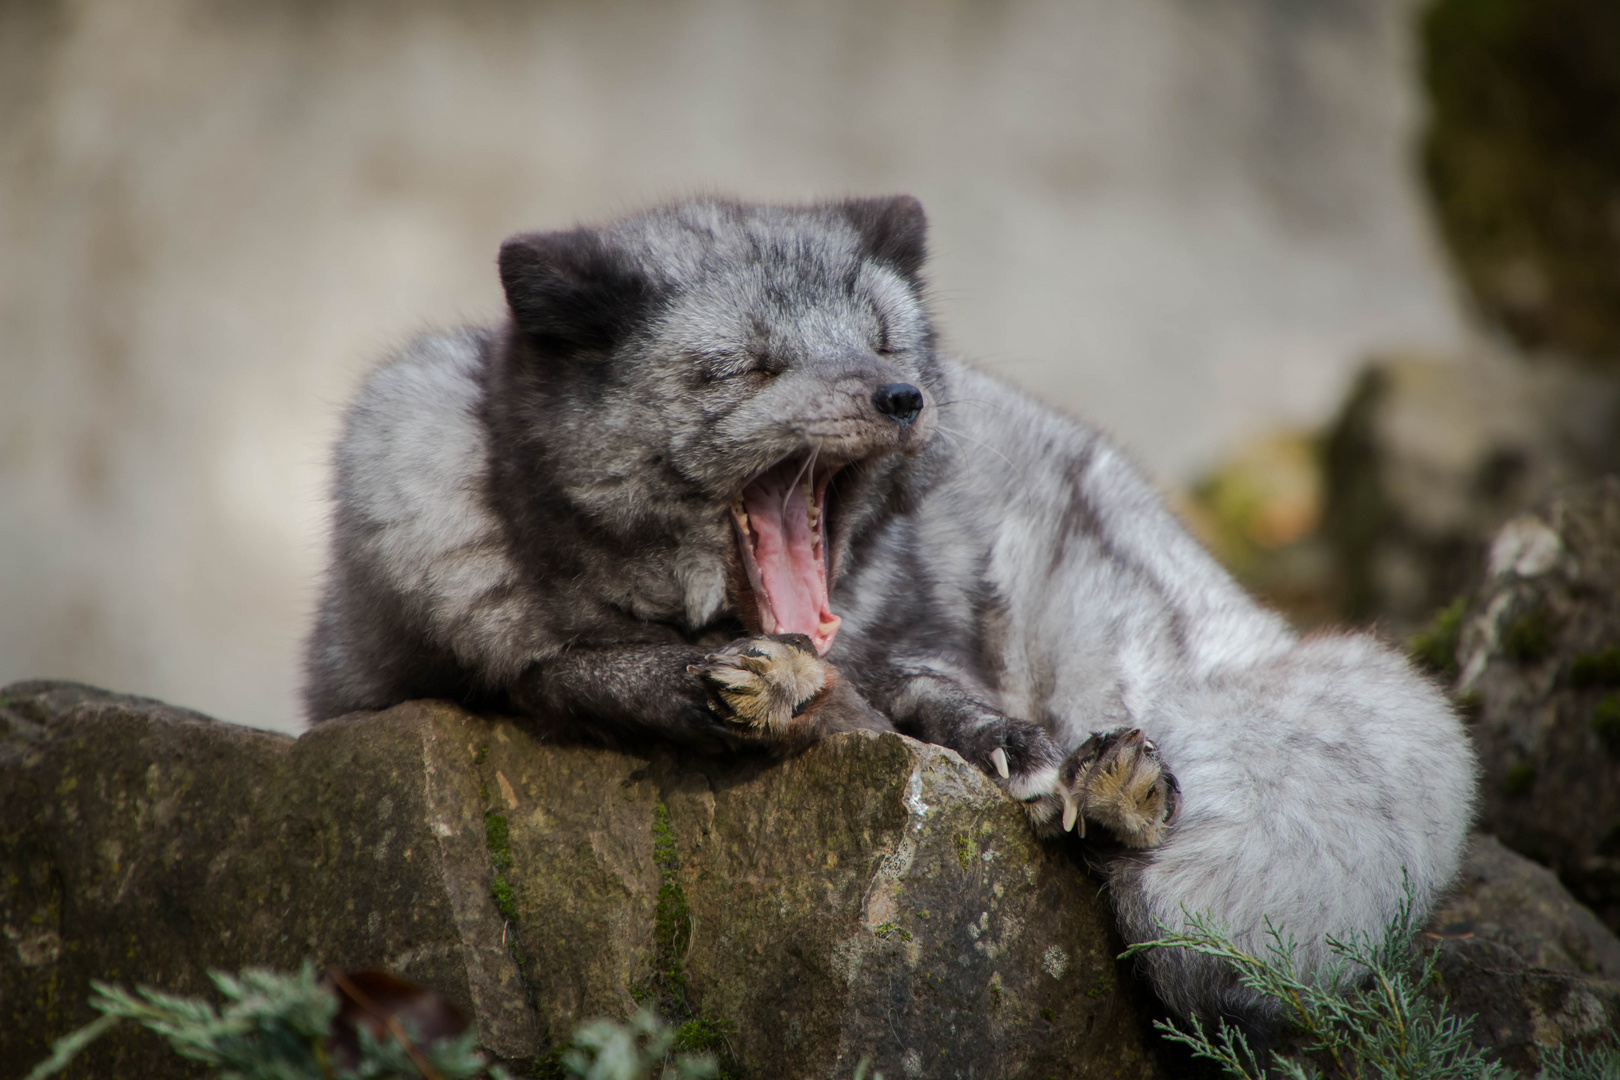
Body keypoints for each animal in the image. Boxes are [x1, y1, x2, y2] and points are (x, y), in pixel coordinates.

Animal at [306, 198, 1483, 1029]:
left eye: (880, 343)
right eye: (749, 366)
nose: (902, 397)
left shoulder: (919, 640)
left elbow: (938, 697)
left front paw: (1012, 747)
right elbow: (585, 668)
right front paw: (757, 690)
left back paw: (1119, 789)